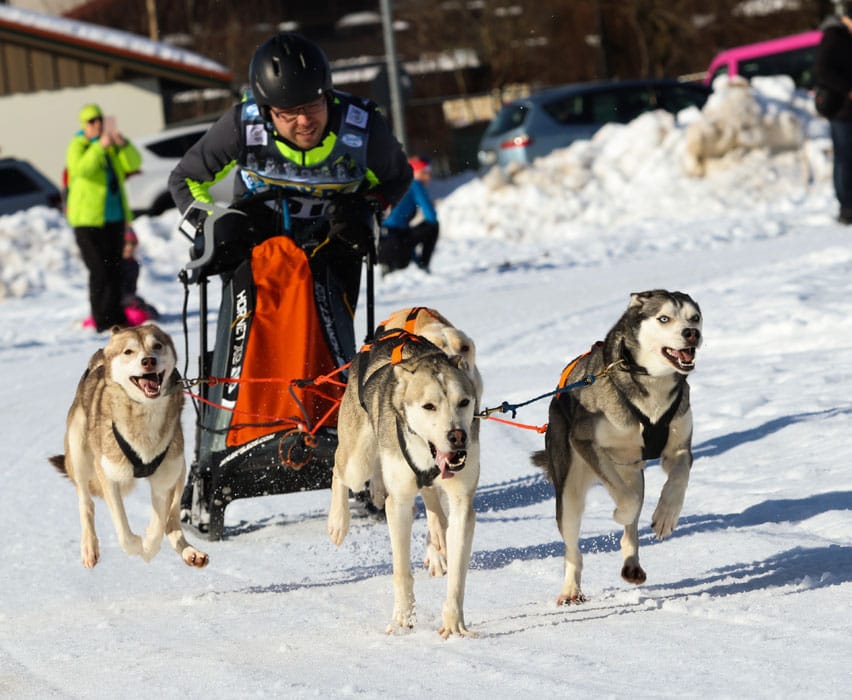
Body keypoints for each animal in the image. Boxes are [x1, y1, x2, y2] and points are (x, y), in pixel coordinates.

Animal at [50, 322, 209, 568]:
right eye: (128, 351)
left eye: (157, 346)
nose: (148, 361)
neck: (145, 416)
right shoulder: (109, 475)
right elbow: (123, 529)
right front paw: (137, 546)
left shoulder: (164, 480)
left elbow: (158, 525)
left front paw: (149, 547)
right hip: (79, 455)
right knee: (86, 503)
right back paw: (89, 548)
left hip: (180, 468)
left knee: (172, 520)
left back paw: (190, 552)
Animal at [328, 330, 480, 636]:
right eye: (429, 406)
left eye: (464, 402)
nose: (458, 436)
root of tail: (384, 336)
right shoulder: (398, 503)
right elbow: (401, 571)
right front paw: (402, 618)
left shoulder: (462, 504)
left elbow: (457, 576)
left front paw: (454, 624)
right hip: (357, 461)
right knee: (339, 470)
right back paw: (338, 521)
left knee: (433, 503)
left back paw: (438, 536)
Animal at [536, 292, 704, 604]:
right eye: (664, 318)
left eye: (694, 317)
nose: (692, 333)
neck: (652, 385)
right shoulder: (586, 442)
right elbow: (628, 502)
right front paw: (619, 513)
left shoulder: (678, 450)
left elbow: (678, 479)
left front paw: (666, 516)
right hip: (570, 491)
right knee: (573, 548)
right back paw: (570, 590)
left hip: (632, 472)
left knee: (631, 528)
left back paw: (631, 564)